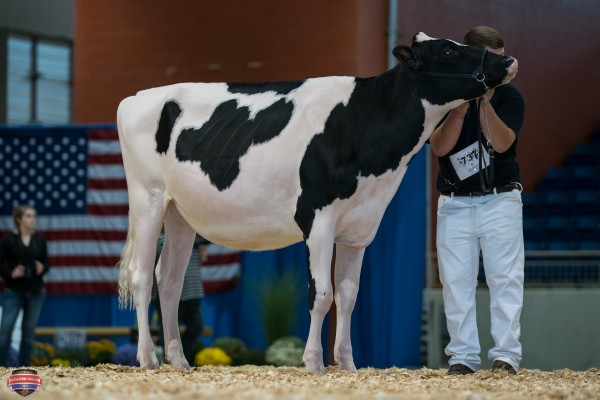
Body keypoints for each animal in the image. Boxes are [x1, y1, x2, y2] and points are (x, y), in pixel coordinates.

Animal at [116, 32, 516, 374]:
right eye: (448, 50)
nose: (508, 60)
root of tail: (135, 97)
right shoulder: (317, 218)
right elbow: (321, 293)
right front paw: (314, 362)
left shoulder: (361, 227)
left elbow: (348, 296)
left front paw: (348, 364)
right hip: (148, 198)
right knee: (141, 276)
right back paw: (148, 359)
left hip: (180, 213)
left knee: (169, 280)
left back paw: (179, 360)